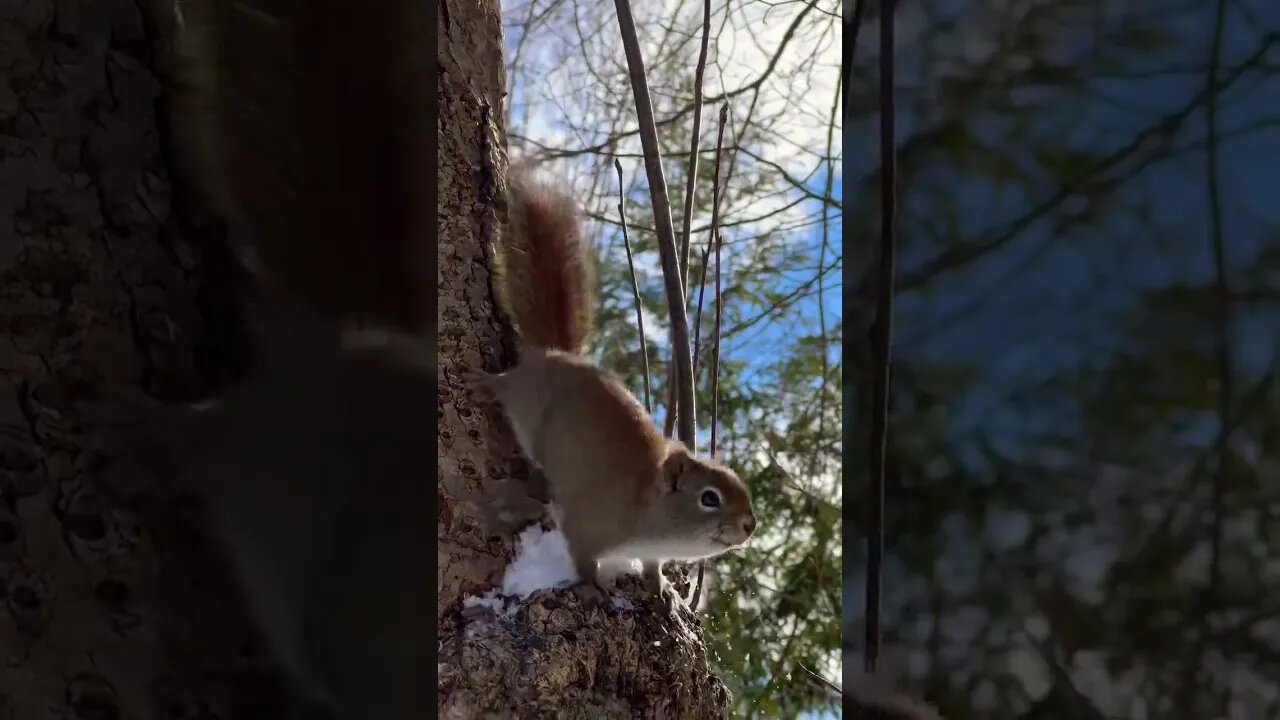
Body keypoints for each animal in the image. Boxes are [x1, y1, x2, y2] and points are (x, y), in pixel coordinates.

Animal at [467, 169, 758, 610]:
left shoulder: (650, 551)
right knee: (507, 386)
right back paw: (485, 383)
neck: (649, 510)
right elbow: (582, 555)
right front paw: (591, 585)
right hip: (524, 402)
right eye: (709, 498)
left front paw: (661, 587)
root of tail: (554, 355)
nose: (750, 525)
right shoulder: (589, 524)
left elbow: (653, 567)